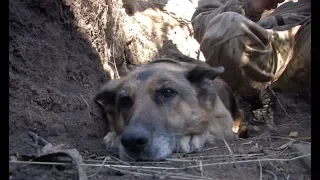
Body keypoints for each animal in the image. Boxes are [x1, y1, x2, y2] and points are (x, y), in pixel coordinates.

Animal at [94, 58, 244, 161]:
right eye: (125, 100)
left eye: (167, 92)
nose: (132, 141)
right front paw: (114, 136)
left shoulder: (224, 120)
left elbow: (210, 126)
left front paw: (191, 136)